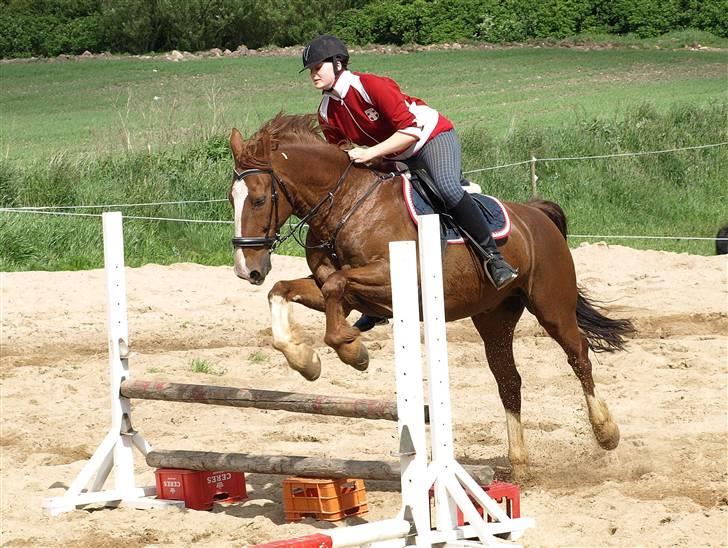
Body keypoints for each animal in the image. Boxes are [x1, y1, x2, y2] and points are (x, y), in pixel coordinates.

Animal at [226, 113, 632, 468]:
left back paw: (606, 432)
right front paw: (305, 361)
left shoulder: (393, 279)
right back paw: (519, 464)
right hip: (494, 316)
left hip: (551, 305)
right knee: (509, 379)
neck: (345, 204)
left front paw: (353, 351)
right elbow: (286, 290)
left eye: (259, 199)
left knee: (578, 355)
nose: (248, 269)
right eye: (231, 199)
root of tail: (537, 215)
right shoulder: (344, 289)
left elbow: (336, 289)